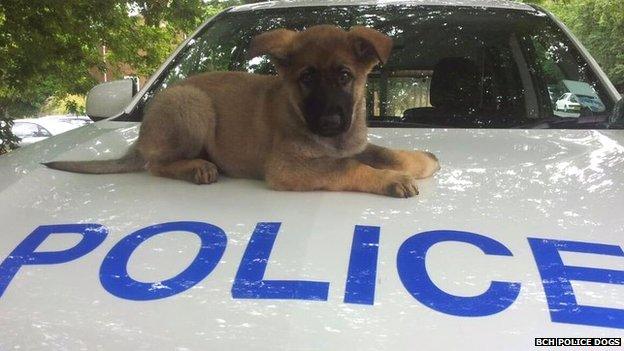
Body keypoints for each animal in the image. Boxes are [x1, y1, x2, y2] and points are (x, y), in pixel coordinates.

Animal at [45, 25, 438, 198]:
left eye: (345, 76)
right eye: (306, 78)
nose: (329, 122)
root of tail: (141, 136)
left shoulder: (352, 145)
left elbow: (382, 152)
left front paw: (422, 160)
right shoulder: (287, 168)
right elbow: (349, 167)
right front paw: (391, 180)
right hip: (193, 104)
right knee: (156, 165)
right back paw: (197, 167)